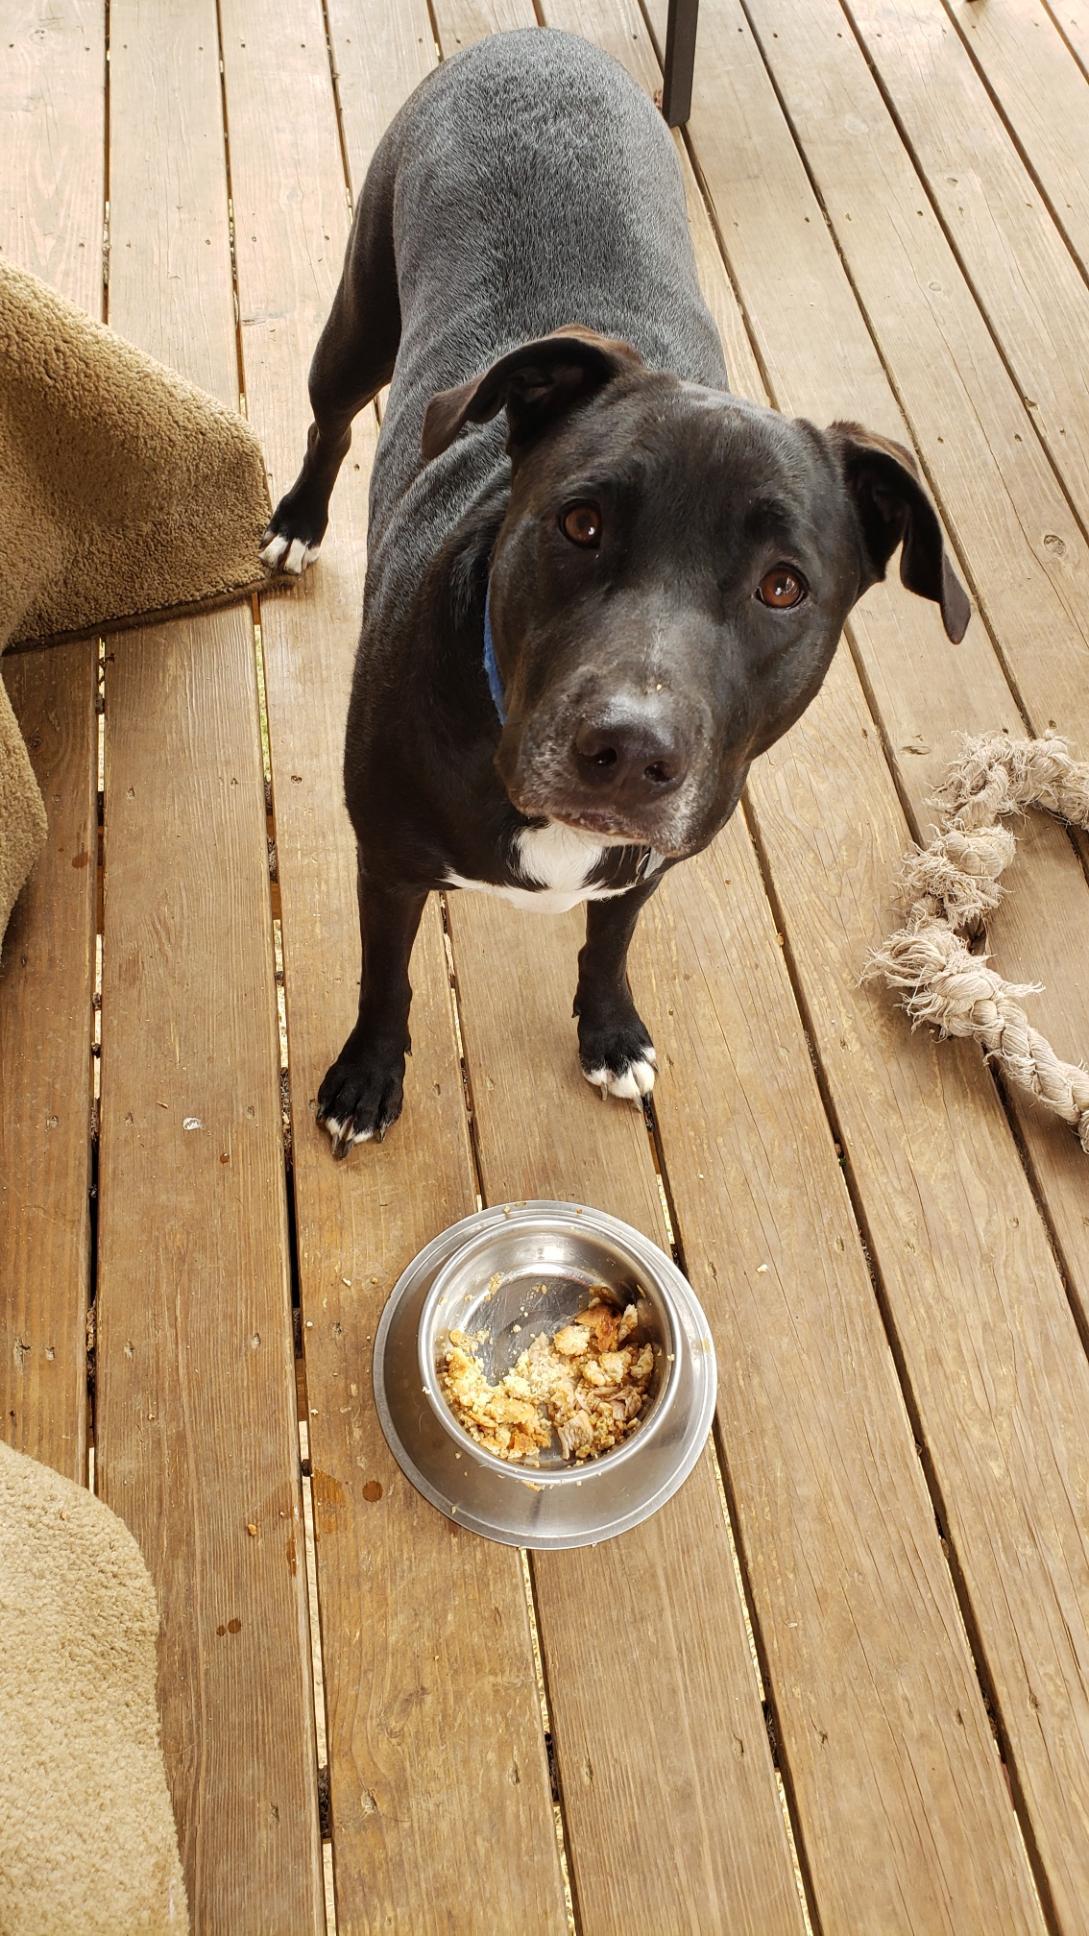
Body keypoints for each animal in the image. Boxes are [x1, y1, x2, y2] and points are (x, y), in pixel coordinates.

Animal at [263, 30, 964, 1146]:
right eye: (581, 523)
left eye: (782, 588)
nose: (629, 751)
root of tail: (536, 37)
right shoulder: (388, 861)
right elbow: (386, 980)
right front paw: (367, 1079)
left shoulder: (645, 865)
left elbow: (607, 945)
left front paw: (610, 1032)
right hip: (357, 322)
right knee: (330, 418)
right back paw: (296, 519)